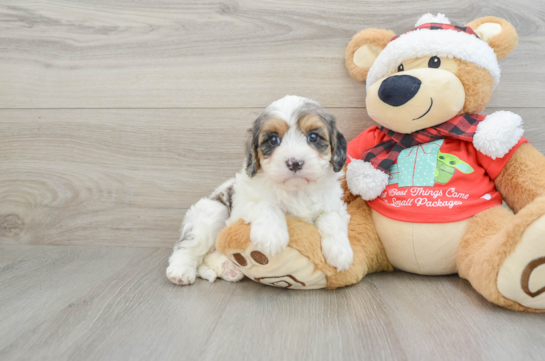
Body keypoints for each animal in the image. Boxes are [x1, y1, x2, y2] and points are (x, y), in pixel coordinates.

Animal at [167, 95, 352, 284]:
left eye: (313, 137)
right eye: (273, 140)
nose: (294, 162)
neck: (296, 190)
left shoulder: (334, 204)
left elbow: (331, 217)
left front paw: (340, 252)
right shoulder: (243, 201)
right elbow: (264, 204)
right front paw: (271, 235)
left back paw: (229, 269)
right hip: (213, 212)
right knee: (188, 248)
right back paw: (181, 270)